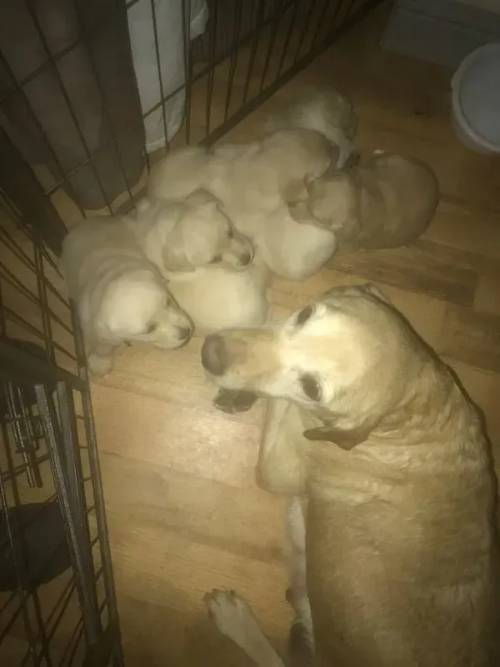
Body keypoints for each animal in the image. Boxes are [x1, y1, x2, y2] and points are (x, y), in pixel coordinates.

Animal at [200, 286, 500, 667]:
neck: (407, 411)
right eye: (304, 314)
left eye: (312, 388)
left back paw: (235, 620)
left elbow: (282, 407)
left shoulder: (278, 464)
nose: (211, 352)